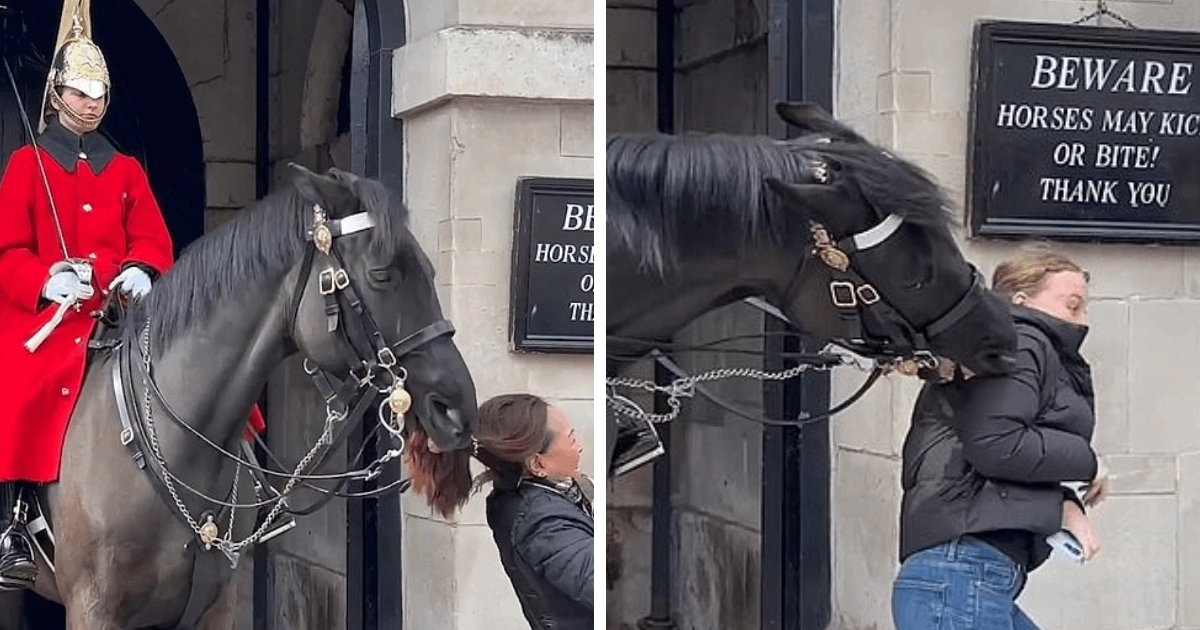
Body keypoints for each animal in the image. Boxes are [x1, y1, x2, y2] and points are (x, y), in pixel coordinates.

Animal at [0, 164, 477, 624]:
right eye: (382, 275)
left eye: (431, 272)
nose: (457, 410)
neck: (177, 445)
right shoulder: (93, 608)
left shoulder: (215, 606)